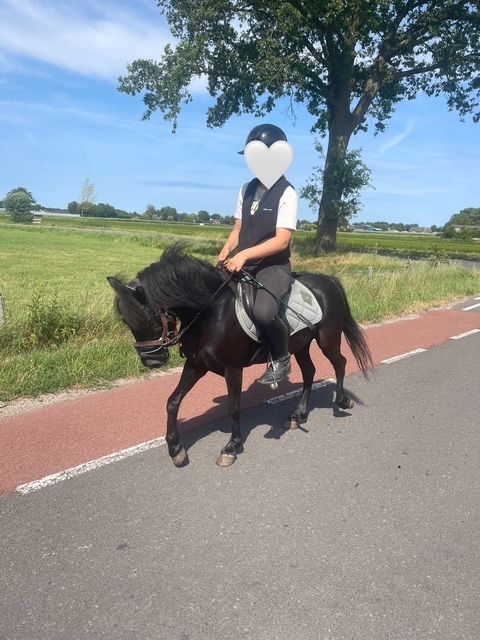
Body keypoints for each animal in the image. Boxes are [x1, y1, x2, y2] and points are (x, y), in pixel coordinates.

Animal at [108, 244, 372, 467]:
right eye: (126, 321)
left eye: (151, 317)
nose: (151, 361)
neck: (212, 312)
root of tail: (328, 280)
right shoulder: (196, 364)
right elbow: (173, 401)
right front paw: (176, 449)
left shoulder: (232, 367)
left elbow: (233, 407)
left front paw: (231, 447)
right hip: (301, 345)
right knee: (309, 371)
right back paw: (298, 415)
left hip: (328, 339)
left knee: (340, 363)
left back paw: (341, 401)